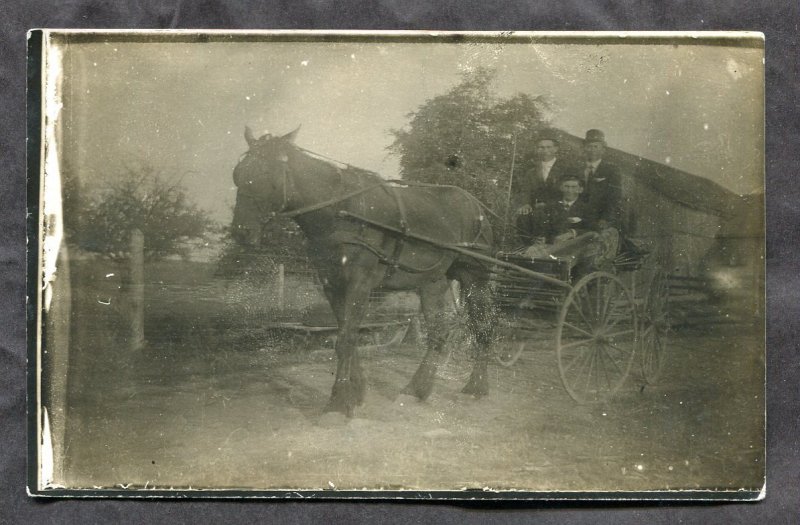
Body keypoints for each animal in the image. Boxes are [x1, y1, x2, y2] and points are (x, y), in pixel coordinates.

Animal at [230, 126, 494, 414]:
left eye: (269, 175)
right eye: (238, 173)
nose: (241, 232)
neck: (339, 210)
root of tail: (477, 207)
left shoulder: (360, 281)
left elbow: (346, 338)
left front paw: (338, 402)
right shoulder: (332, 282)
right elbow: (346, 332)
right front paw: (356, 392)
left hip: (475, 277)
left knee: (483, 326)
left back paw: (476, 387)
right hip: (433, 281)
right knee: (439, 333)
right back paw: (417, 389)